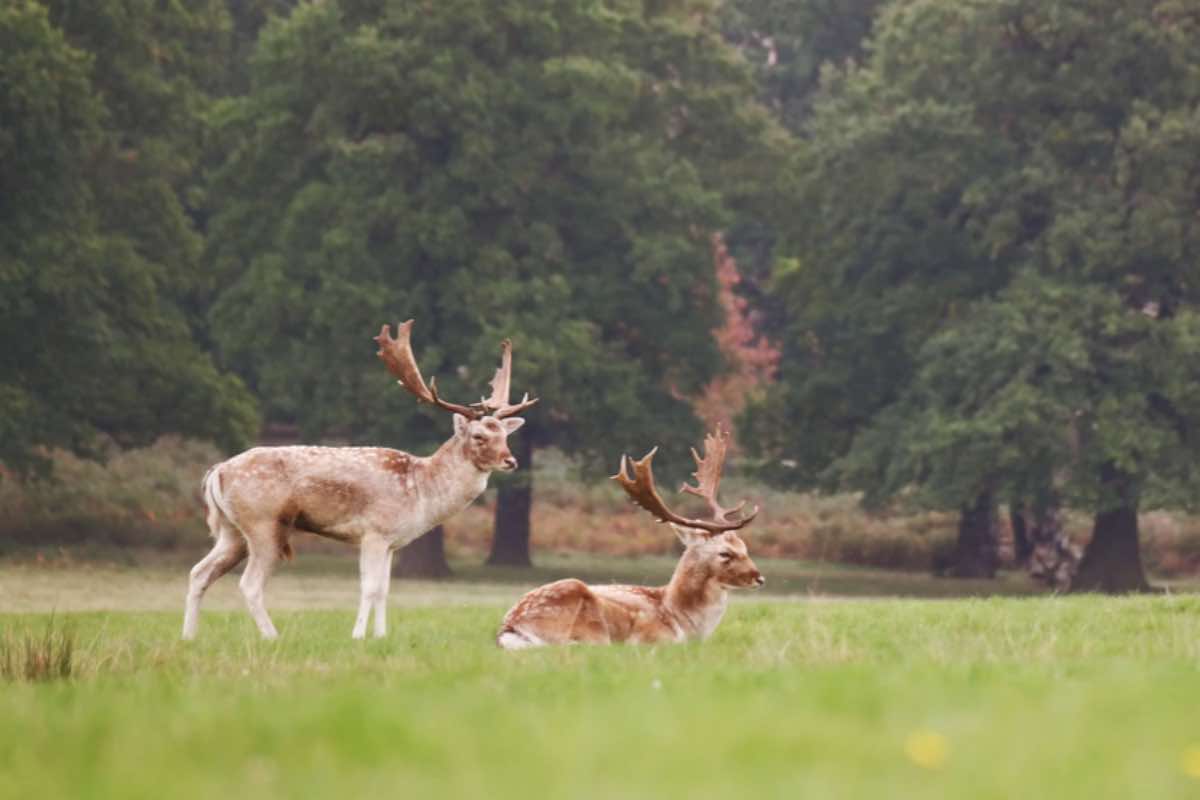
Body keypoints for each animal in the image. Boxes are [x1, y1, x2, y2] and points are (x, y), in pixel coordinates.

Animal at [180, 319, 537, 638]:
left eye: (505, 434)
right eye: (478, 436)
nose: (511, 460)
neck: (421, 491)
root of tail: (217, 471)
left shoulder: (392, 542)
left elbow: (385, 590)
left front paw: (380, 636)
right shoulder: (374, 531)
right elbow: (369, 587)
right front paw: (357, 636)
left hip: (232, 531)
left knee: (199, 572)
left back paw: (189, 637)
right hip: (263, 523)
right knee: (249, 584)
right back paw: (272, 636)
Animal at [494, 424, 758, 652]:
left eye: (744, 547)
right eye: (725, 553)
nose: (759, 577)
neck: (682, 619)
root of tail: (510, 627)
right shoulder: (652, 637)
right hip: (587, 622)